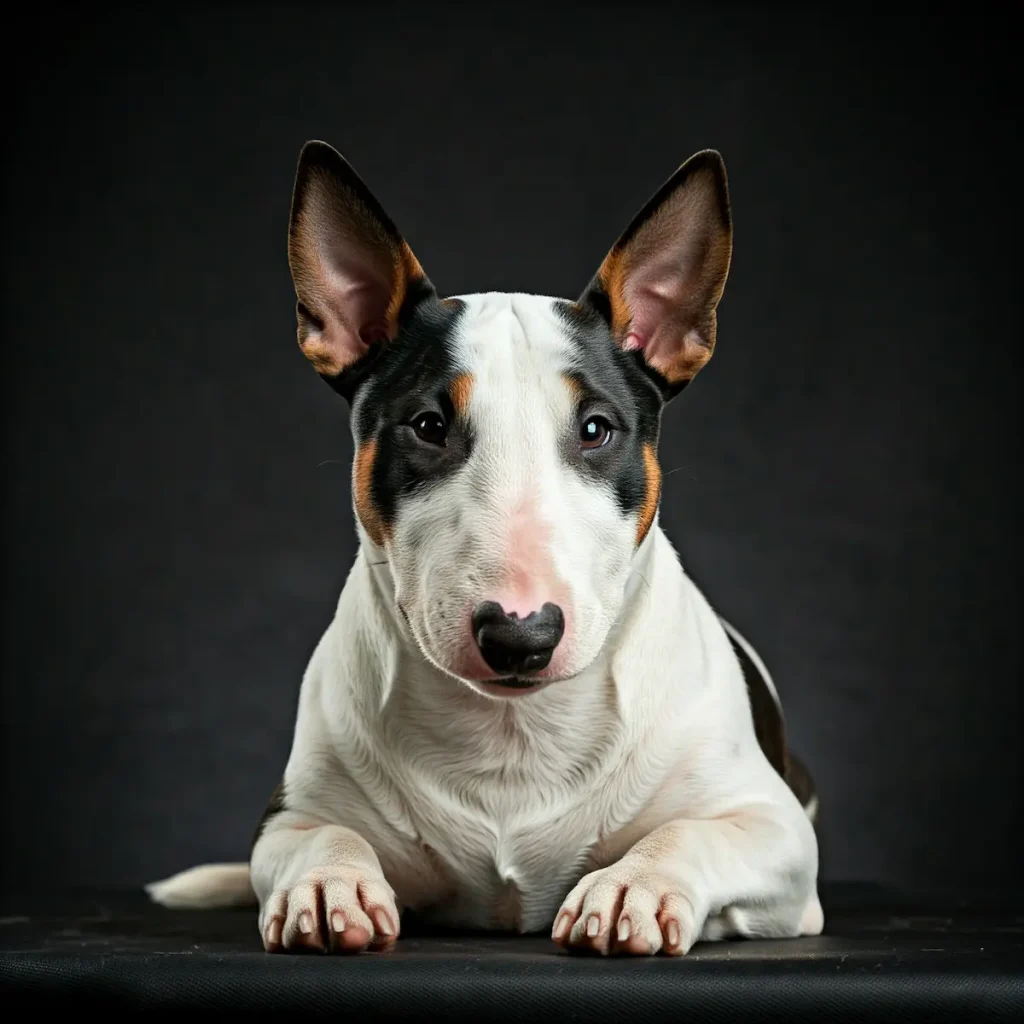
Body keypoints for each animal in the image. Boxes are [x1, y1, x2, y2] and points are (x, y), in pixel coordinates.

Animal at [146, 140, 823, 954]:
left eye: (596, 428)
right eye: (428, 425)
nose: (520, 636)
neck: (512, 734)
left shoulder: (778, 834)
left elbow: (695, 832)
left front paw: (633, 884)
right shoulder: (291, 816)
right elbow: (322, 834)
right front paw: (325, 885)